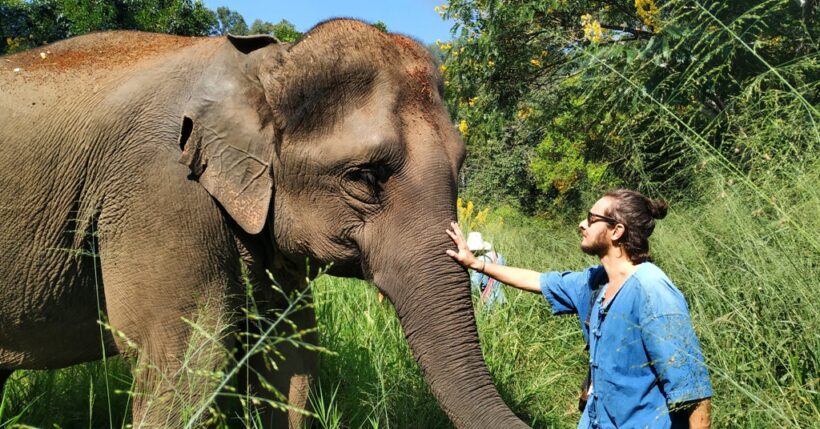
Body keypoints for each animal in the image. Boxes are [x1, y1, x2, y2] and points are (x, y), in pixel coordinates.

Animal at [0, 18, 524, 426]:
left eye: (461, 166)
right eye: (365, 176)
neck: (270, 67)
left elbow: (290, 357)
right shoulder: (161, 191)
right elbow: (186, 365)